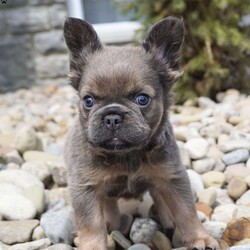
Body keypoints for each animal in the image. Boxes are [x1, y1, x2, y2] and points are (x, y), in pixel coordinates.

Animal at [63, 16, 220, 249]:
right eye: (88, 101)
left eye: (142, 99)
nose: (112, 116)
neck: (127, 154)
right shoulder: (85, 188)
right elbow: (91, 224)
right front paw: (93, 245)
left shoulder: (173, 177)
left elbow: (186, 211)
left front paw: (200, 238)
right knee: (109, 205)